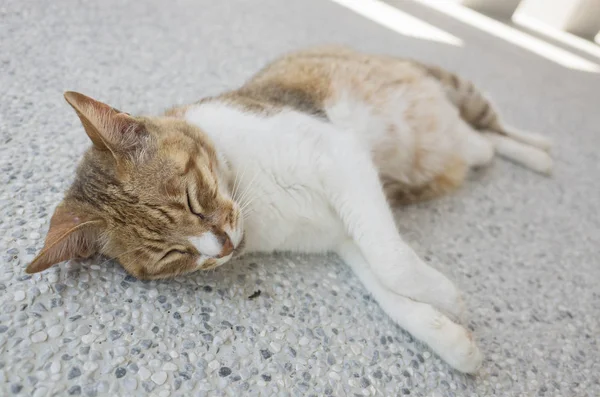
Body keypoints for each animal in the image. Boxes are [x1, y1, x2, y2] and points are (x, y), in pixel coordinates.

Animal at [28, 45, 552, 372]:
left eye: (193, 200)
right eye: (172, 256)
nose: (222, 246)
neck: (248, 190)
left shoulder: (340, 156)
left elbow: (391, 260)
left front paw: (448, 298)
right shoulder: (340, 234)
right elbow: (387, 288)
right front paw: (449, 337)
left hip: (452, 88)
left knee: (495, 125)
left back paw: (542, 151)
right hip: (464, 147)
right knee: (486, 145)